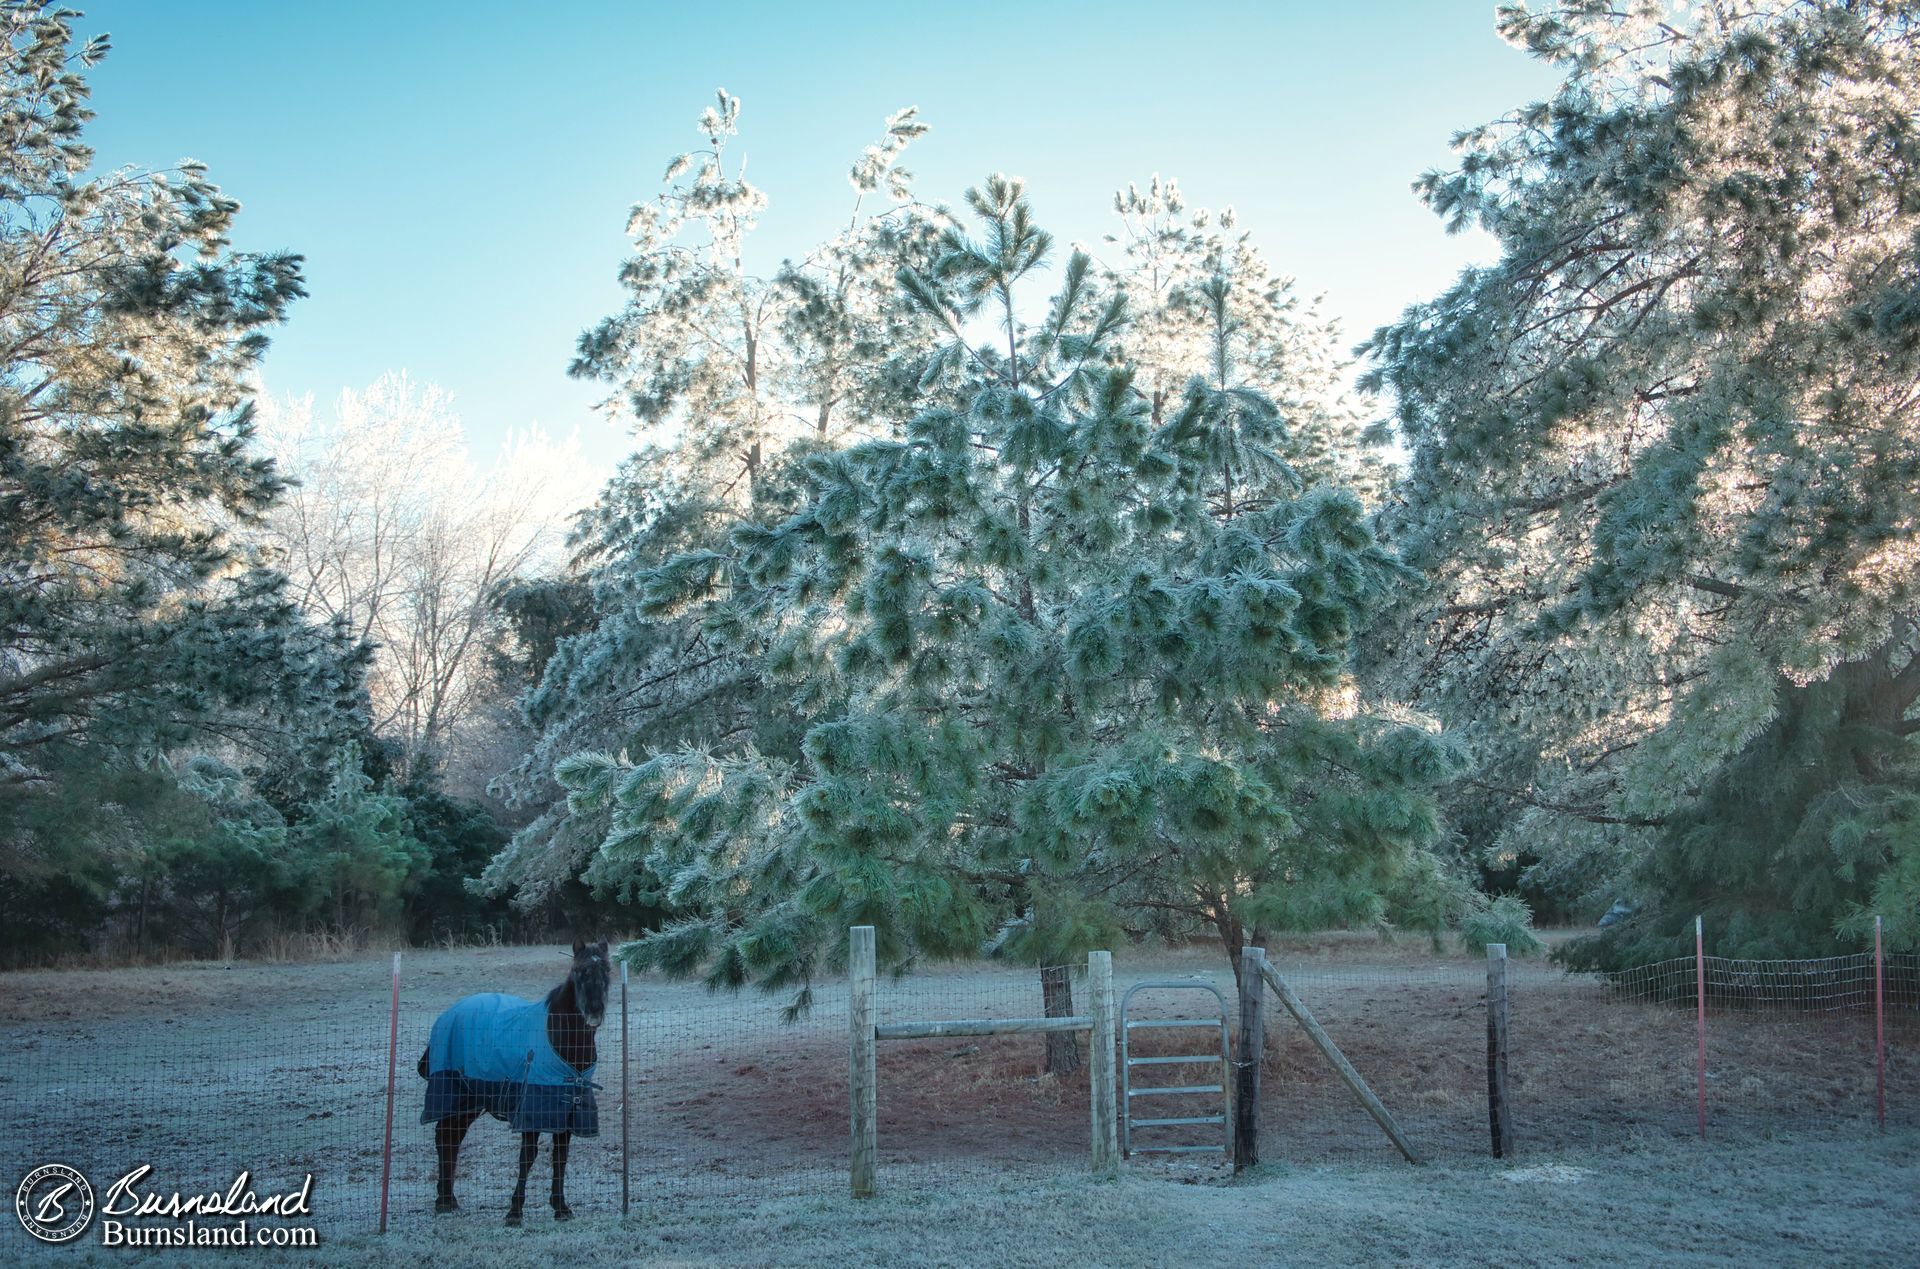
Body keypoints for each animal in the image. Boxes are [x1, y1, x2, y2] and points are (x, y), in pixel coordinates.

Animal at [422, 940, 614, 1221]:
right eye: (579, 971)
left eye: (607, 971)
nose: (594, 1011)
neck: (559, 1038)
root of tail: (449, 1014)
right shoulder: (532, 1107)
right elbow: (528, 1156)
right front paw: (515, 1211)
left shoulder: (567, 1108)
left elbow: (560, 1156)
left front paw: (560, 1207)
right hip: (454, 1095)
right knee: (444, 1138)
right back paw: (444, 1201)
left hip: (470, 1102)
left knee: (451, 1138)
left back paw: (449, 1199)